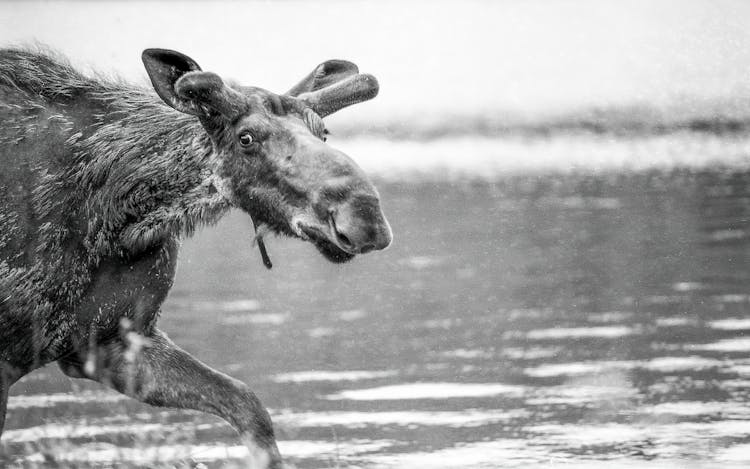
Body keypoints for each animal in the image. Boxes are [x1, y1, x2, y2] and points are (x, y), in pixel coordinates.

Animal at [0, 48, 390, 468]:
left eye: (324, 133)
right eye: (246, 137)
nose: (365, 216)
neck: (116, 215)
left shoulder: (111, 341)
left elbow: (248, 405)